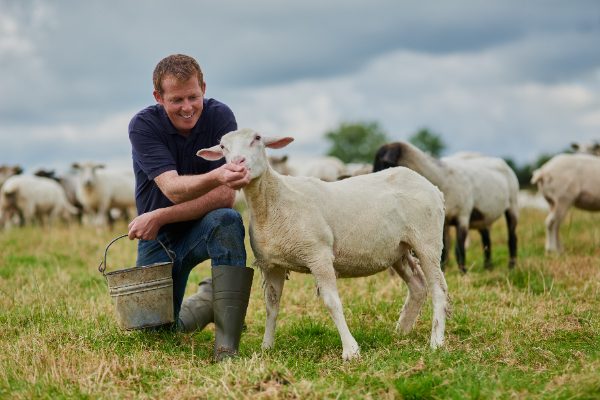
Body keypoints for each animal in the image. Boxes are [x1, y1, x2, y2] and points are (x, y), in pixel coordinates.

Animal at [198, 127, 450, 360]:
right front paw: (266, 347)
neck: (272, 202)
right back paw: (401, 331)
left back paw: (436, 341)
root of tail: (432, 188)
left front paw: (351, 350)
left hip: (427, 240)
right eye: (223, 147)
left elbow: (332, 302)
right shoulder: (272, 264)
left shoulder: (318, 255)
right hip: (398, 248)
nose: (237, 163)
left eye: (257, 138)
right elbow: (271, 306)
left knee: (438, 289)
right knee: (418, 285)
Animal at [376, 141, 520, 272]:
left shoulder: (463, 216)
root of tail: (501, 161)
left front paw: (463, 272)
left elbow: (459, 249)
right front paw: (444, 270)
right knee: (486, 240)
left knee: (512, 238)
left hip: (513, 204)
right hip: (483, 218)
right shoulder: (444, 221)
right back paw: (488, 267)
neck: (442, 177)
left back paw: (511, 266)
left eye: (384, 164)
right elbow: (444, 251)